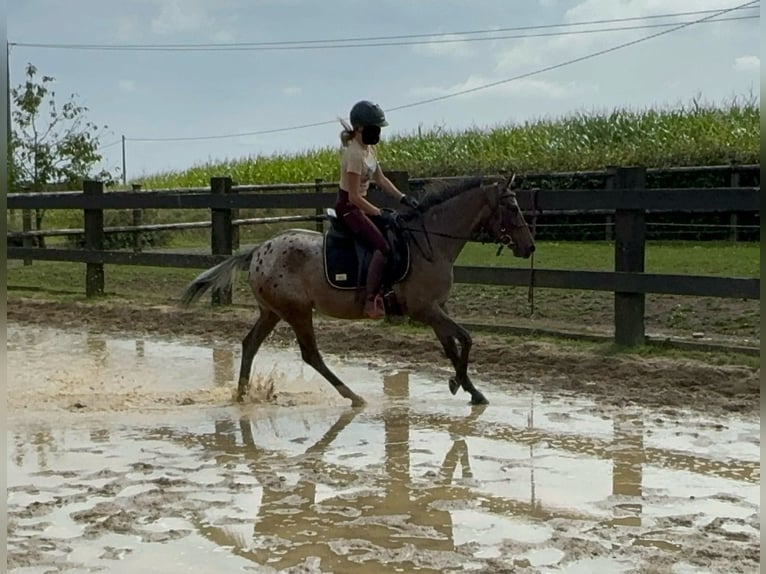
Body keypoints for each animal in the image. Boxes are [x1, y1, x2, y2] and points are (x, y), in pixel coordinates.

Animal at [182, 178, 536, 408]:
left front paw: (468, 388)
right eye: (512, 207)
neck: (431, 242)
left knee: (250, 344)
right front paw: (459, 384)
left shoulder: (437, 308)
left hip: (273, 312)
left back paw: (241, 395)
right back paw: (353, 396)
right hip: (296, 311)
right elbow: (467, 339)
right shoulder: (425, 310)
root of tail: (258, 250)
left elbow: (452, 346)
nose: (529, 247)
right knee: (311, 355)